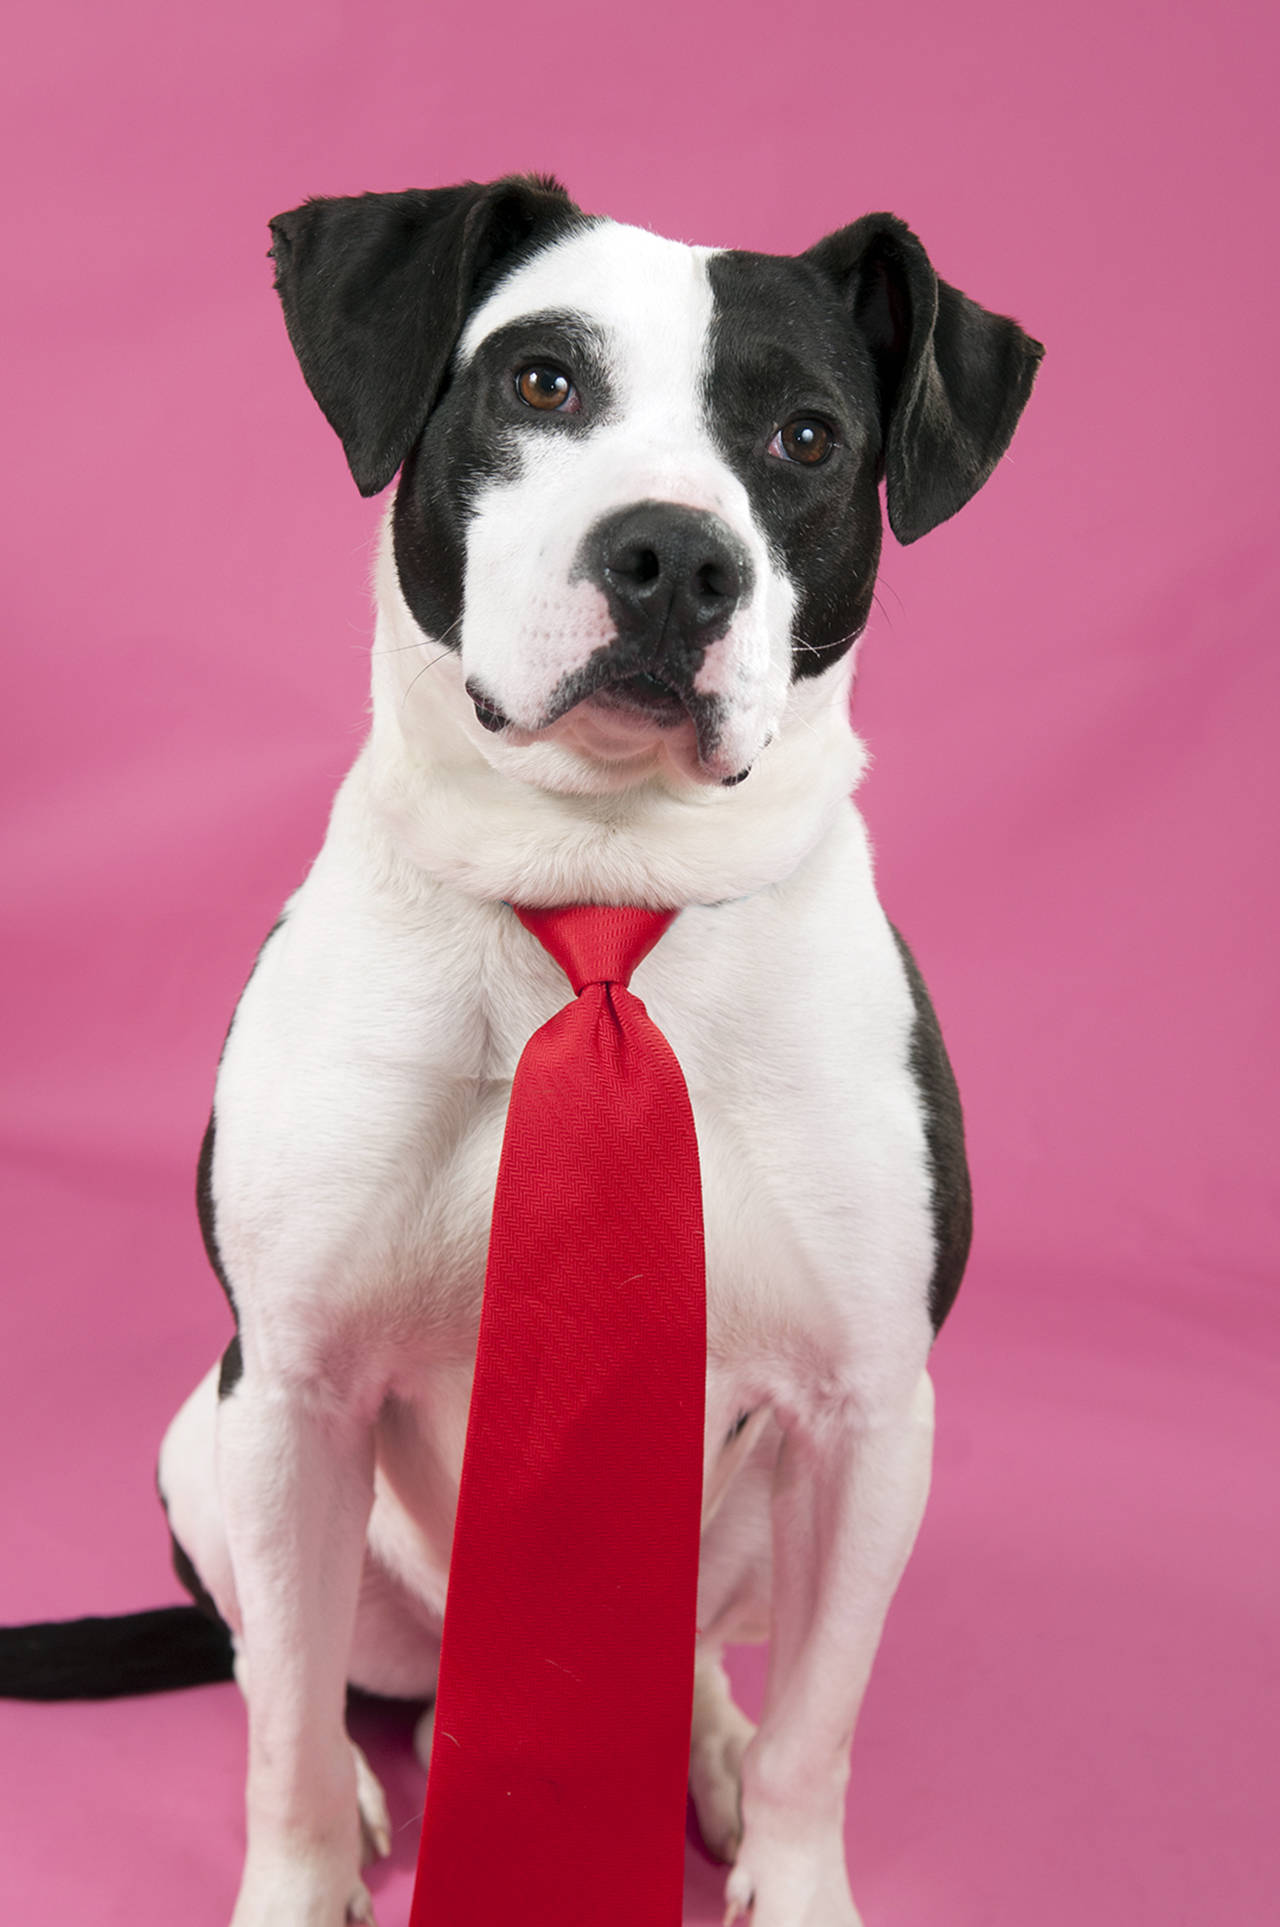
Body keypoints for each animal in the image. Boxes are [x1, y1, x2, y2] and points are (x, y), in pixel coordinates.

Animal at [1, 174, 1041, 1927]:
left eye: (809, 438)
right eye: (543, 381)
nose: (674, 555)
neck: (599, 899)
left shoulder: (868, 1415)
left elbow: (820, 1732)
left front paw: (786, 1856)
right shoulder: (296, 1392)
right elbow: (282, 1727)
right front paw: (300, 1875)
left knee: (695, 1659)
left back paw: (700, 1743)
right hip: (211, 1446)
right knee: (281, 1663)